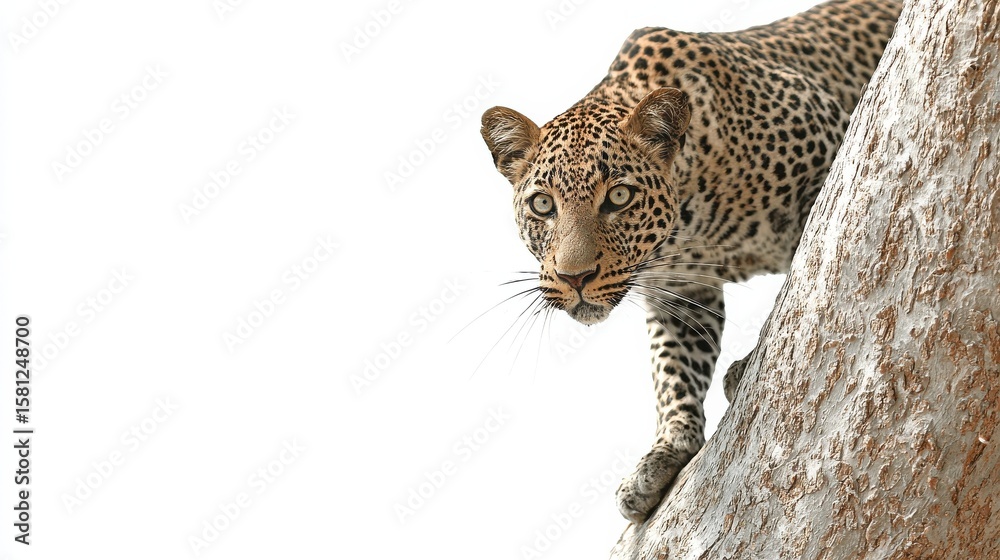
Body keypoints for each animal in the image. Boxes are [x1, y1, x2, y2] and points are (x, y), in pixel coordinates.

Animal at [480, 0, 901, 524]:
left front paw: (751, 360)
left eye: (619, 197)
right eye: (542, 205)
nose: (574, 277)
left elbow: (811, 275)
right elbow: (673, 370)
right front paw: (664, 453)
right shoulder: (680, 293)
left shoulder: (832, 160)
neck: (691, 221)